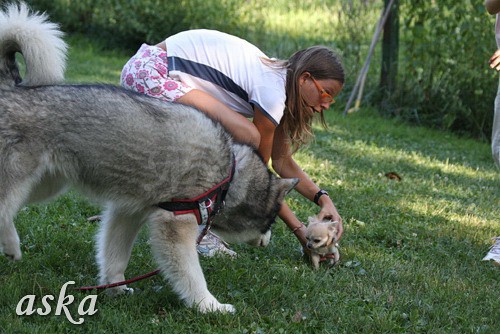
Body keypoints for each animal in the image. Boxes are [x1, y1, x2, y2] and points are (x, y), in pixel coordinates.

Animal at [0, 3, 296, 314]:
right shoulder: (175, 226)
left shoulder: (128, 211)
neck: (230, 174)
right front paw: (208, 306)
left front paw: (115, 288)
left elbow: (115, 254)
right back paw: (11, 244)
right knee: (4, 211)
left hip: (46, 185)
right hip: (19, 180)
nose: (267, 242)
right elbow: (192, 275)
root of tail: (11, 88)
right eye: (273, 221)